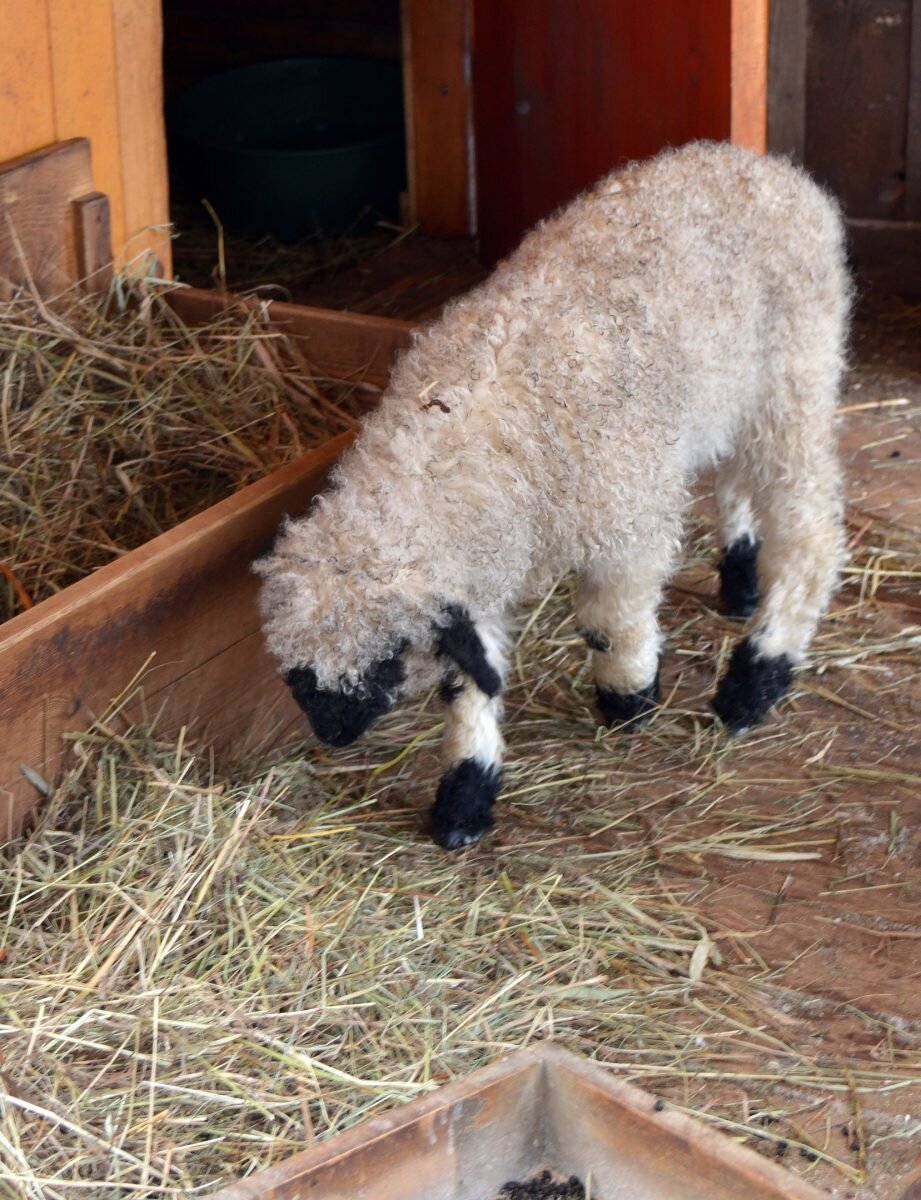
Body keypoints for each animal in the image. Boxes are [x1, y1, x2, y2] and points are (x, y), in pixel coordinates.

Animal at [255, 140, 853, 849]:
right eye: (295, 673)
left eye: (387, 661)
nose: (333, 734)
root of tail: (764, 166)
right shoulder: (477, 567)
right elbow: (469, 680)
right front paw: (465, 794)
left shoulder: (627, 524)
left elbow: (608, 623)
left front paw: (629, 697)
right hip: (732, 393)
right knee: (735, 476)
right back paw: (740, 581)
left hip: (795, 377)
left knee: (810, 535)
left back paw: (756, 677)